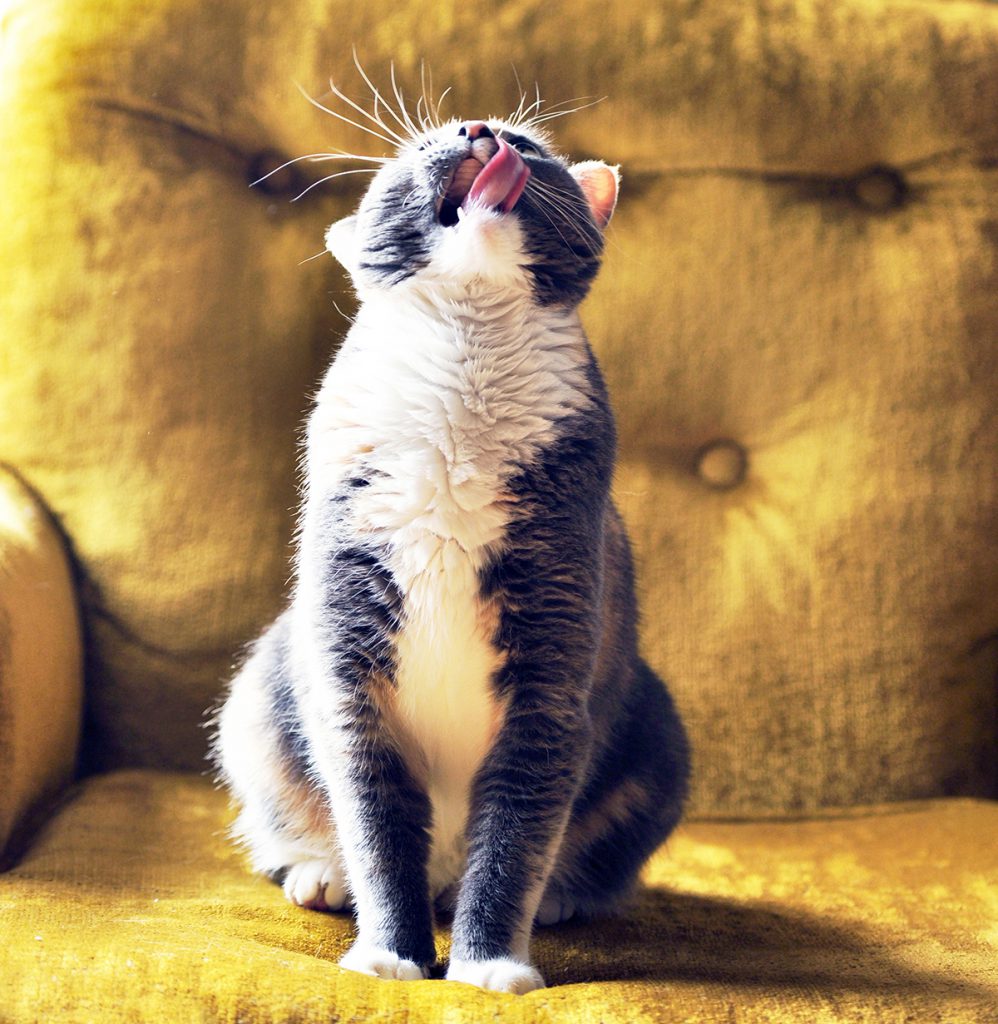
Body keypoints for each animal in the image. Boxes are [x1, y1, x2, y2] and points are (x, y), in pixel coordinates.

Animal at [214, 94, 691, 991]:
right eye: (418, 148)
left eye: (529, 145)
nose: (481, 129)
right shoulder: (346, 647)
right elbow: (373, 821)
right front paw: (391, 956)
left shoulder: (553, 654)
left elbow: (516, 828)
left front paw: (490, 965)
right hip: (259, 694)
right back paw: (319, 875)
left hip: (657, 732)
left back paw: (559, 899)